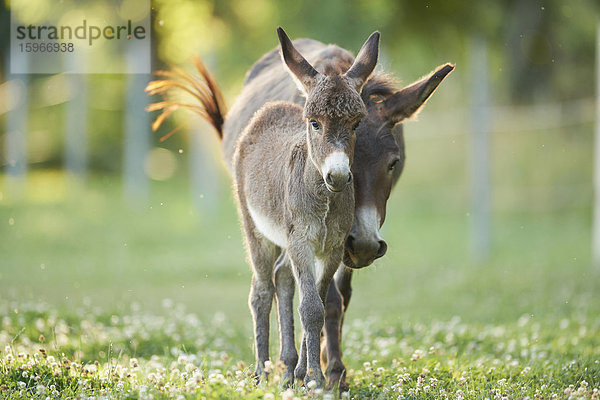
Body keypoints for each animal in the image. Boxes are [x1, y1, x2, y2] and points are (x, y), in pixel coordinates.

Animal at [232, 27, 378, 384]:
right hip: (256, 230)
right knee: (261, 291)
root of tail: (269, 109)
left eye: (356, 124)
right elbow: (311, 308)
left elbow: (320, 303)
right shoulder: (301, 241)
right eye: (314, 123)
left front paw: (306, 373)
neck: (324, 199)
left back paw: (289, 367)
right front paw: (315, 379)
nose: (337, 176)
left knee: (283, 277)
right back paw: (262, 372)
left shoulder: (332, 247)